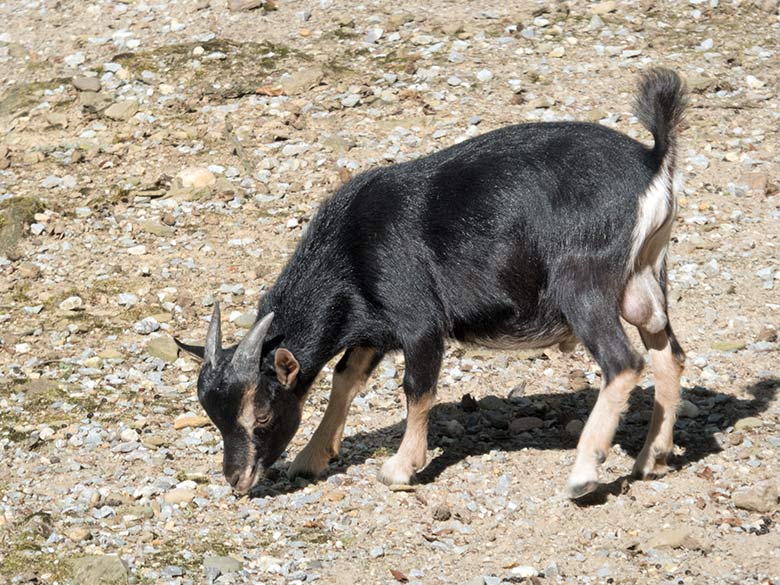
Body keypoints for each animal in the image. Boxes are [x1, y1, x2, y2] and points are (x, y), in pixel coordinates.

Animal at [177, 67, 688, 498]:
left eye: (261, 414)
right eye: (213, 416)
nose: (237, 480)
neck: (351, 249)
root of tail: (652, 162)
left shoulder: (418, 319)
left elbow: (416, 387)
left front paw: (400, 468)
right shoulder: (373, 328)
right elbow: (345, 378)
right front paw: (310, 457)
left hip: (583, 281)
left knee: (623, 362)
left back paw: (583, 474)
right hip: (646, 277)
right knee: (669, 354)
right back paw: (651, 459)